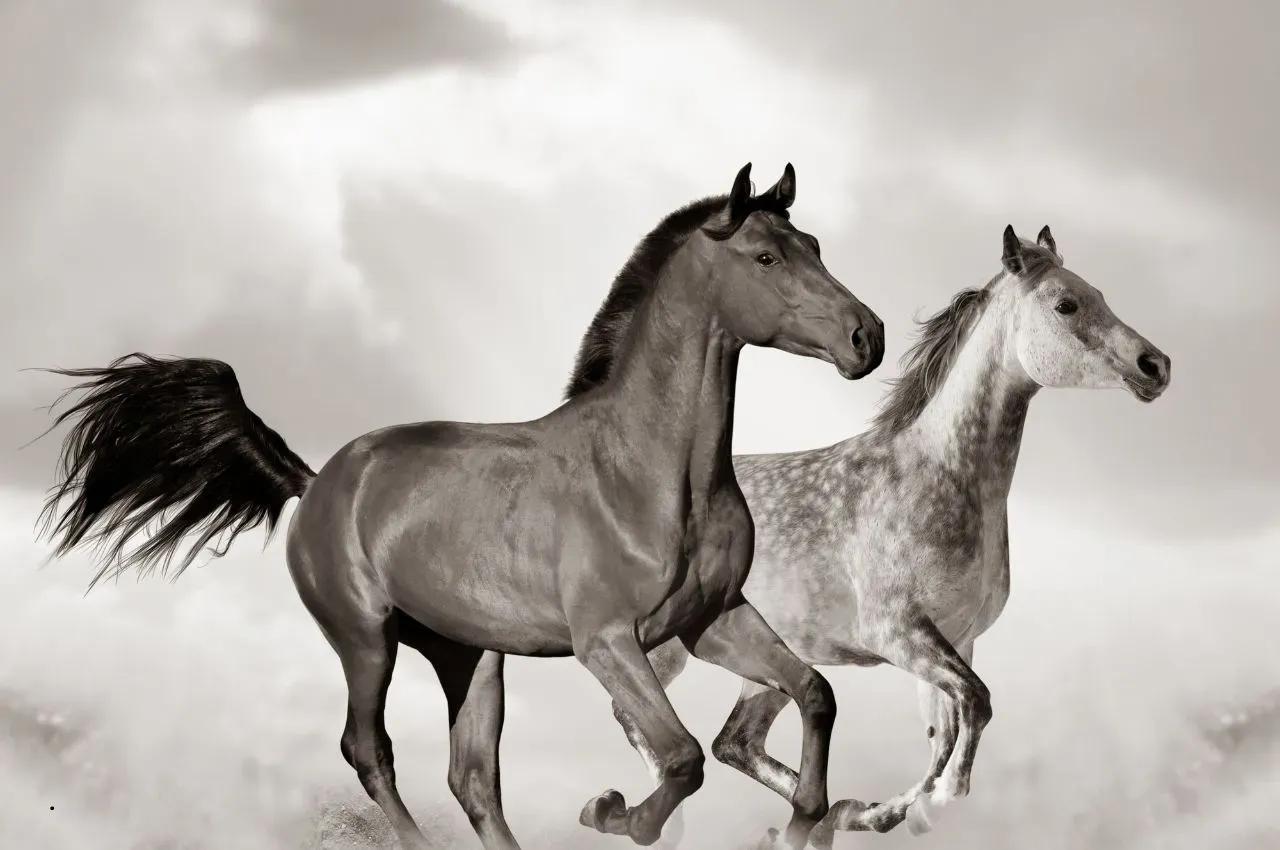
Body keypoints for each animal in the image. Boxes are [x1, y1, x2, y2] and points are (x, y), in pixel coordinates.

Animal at [35, 163, 887, 850]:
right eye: (766, 256)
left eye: (814, 244)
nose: (866, 336)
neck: (650, 473)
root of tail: (316, 481)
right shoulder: (608, 641)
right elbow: (679, 759)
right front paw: (612, 812)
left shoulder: (712, 620)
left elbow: (815, 694)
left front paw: (809, 816)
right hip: (365, 640)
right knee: (369, 751)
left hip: (469, 657)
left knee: (473, 778)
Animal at [591, 225, 1173, 847]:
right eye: (1066, 304)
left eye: (1101, 295)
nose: (1156, 364)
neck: (940, 477)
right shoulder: (898, 634)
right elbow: (975, 707)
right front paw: (925, 806)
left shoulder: (956, 640)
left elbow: (948, 732)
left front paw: (884, 812)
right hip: (665, 650)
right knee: (639, 719)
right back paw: (644, 818)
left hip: (767, 658)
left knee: (736, 741)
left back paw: (817, 820)